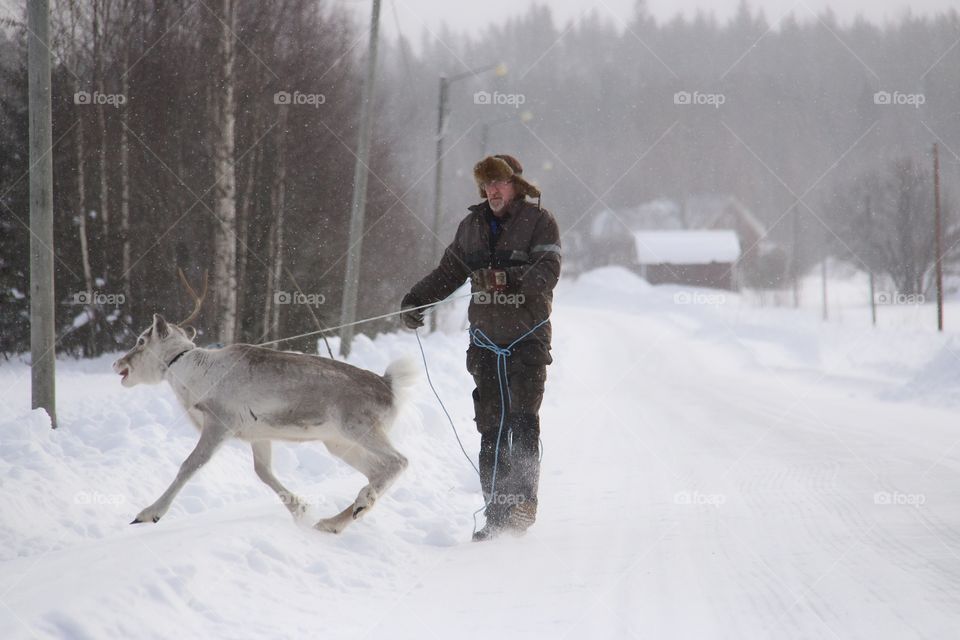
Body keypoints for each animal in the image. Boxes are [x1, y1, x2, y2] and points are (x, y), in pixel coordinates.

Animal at [112, 269, 415, 533]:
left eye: (141, 340)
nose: (117, 364)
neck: (186, 367)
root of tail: (389, 386)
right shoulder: (259, 434)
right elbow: (263, 472)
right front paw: (300, 509)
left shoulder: (219, 423)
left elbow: (190, 464)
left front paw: (148, 514)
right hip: (338, 443)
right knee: (376, 470)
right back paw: (332, 522)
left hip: (357, 428)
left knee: (399, 461)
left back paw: (359, 503)